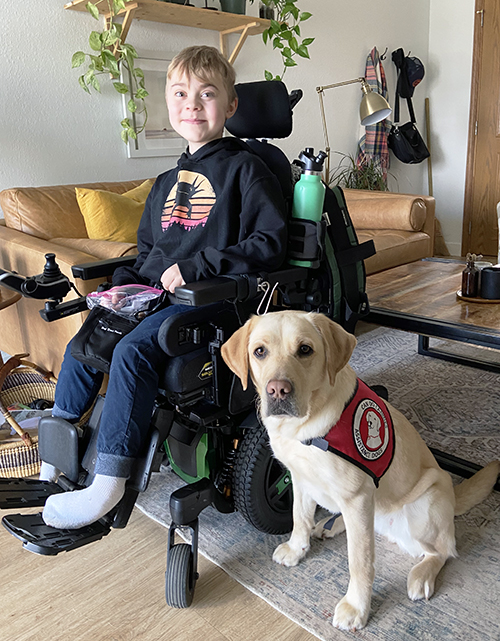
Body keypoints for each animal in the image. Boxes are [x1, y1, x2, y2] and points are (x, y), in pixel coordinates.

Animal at [223, 310, 500, 632]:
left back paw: (421, 575)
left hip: (425, 503)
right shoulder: (301, 479)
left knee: (443, 549)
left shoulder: (356, 497)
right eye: (259, 352)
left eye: (305, 349)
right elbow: (299, 519)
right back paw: (330, 525)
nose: (277, 390)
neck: (304, 426)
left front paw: (356, 607)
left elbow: (359, 561)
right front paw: (296, 548)